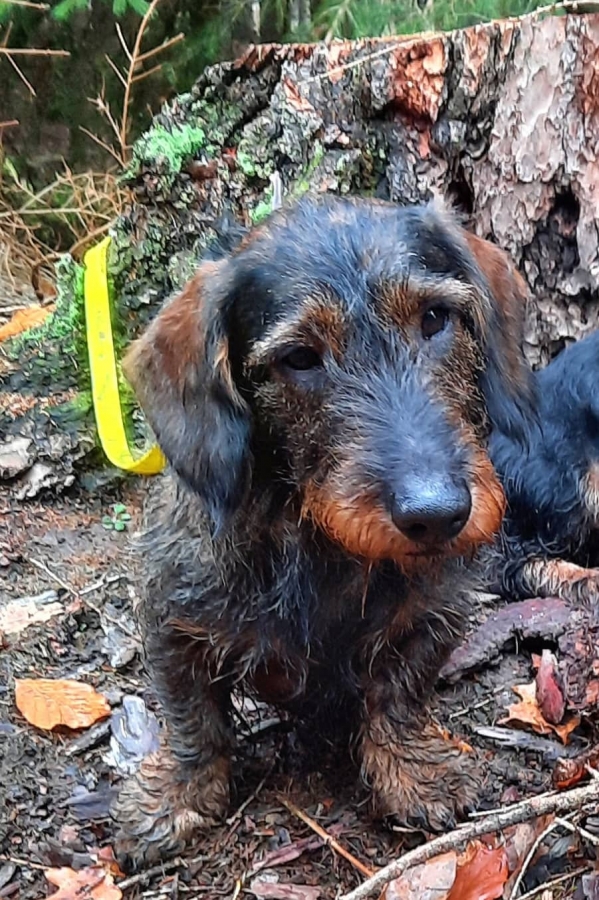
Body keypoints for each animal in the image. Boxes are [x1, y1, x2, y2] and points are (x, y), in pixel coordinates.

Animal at [113, 195, 534, 869]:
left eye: (435, 318)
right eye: (300, 358)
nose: (438, 514)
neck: (321, 545)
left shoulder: (434, 613)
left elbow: (400, 696)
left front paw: (412, 773)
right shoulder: (169, 617)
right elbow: (192, 719)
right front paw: (176, 795)